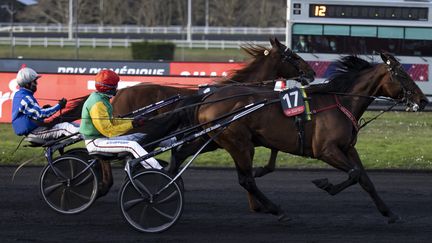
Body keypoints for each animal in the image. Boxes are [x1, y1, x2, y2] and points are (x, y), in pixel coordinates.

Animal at [196, 52, 428, 224]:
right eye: (403, 76)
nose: (423, 100)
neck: (340, 102)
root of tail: (207, 100)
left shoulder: (348, 148)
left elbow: (364, 179)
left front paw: (389, 213)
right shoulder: (326, 150)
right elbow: (353, 174)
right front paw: (325, 184)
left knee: (244, 178)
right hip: (240, 144)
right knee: (246, 180)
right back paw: (277, 210)